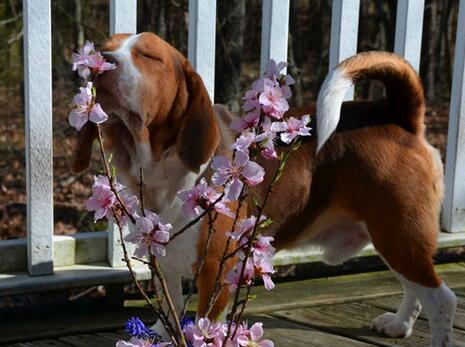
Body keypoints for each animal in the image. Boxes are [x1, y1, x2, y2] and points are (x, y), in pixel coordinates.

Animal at [72, 33, 456, 347]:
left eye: (149, 56)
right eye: (103, 48)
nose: (102, 62)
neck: (160, 169)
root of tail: (399, 118)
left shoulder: (217, 272)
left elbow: (205, 325)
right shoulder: (163, 263)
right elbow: (171, 310)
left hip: (398, 235)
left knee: (442, 300)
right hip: (394, 238)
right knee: (415, 289)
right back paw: (400, 324)